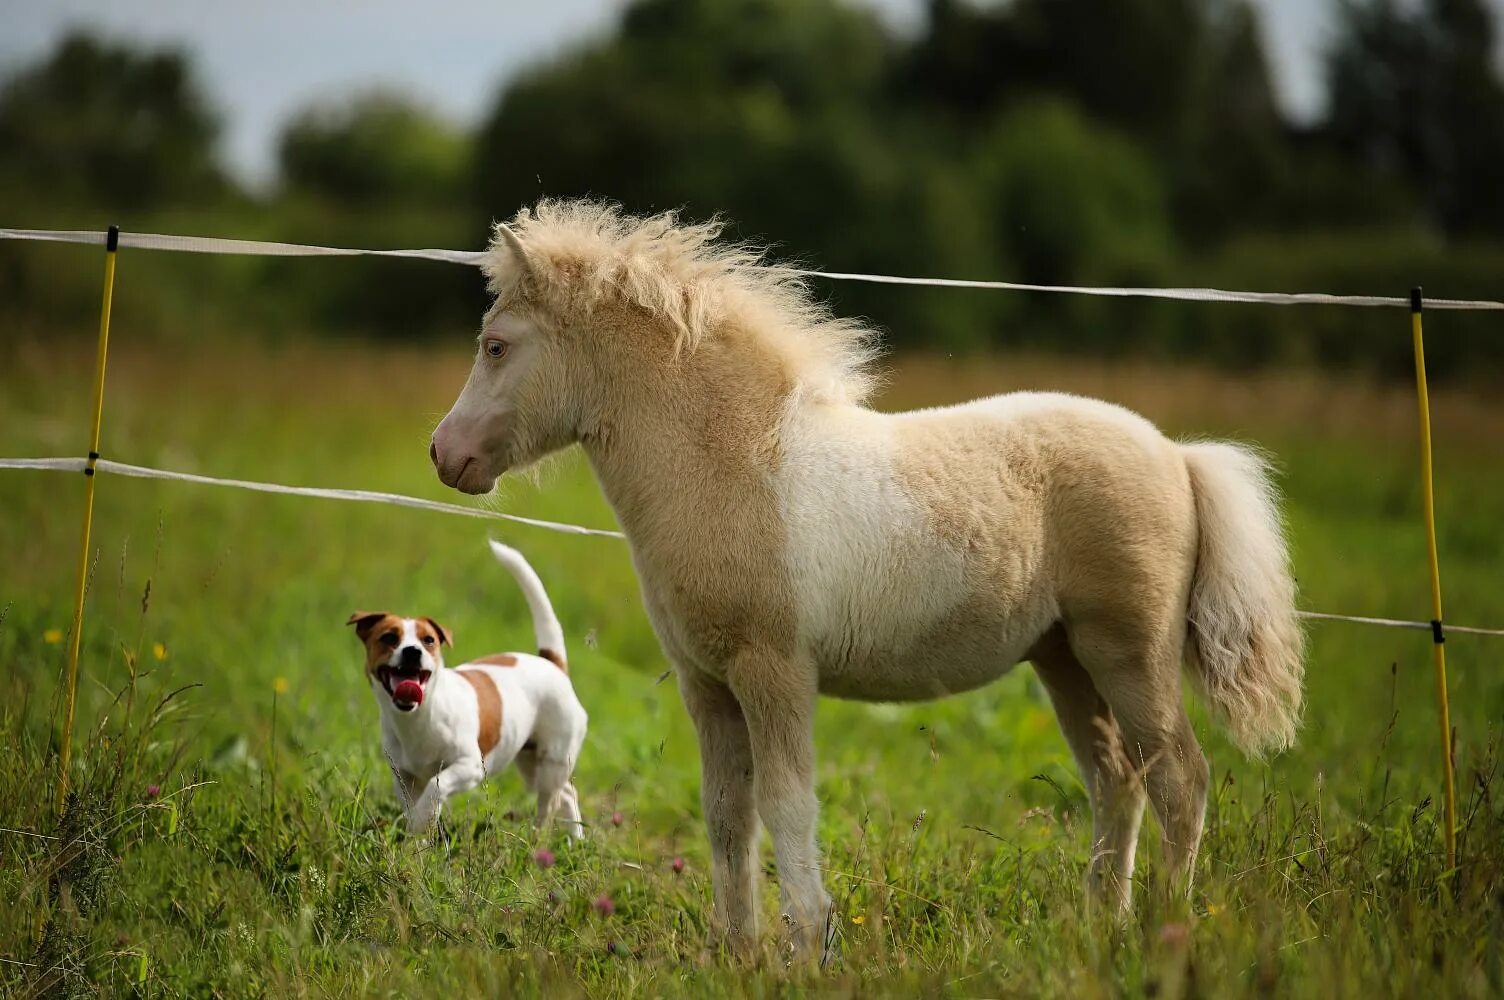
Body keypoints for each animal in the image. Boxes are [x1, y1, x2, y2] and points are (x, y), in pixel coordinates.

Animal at [350, 538, 586, 836]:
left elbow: (435, 787)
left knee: (552, 802)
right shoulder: (404, 777)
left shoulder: (470, 766)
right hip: (531, 761)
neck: (420, 715)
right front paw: (418, 836)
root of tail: (551, 663)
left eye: (429, 640)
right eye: (389, 637)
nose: (413, 651)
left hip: (552, 762)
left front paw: (422, 821)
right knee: (567, 794)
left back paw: (539, 838)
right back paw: (576, 841)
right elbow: (415, 805)